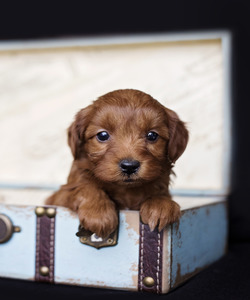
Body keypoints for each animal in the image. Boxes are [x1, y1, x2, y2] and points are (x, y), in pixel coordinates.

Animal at [46, 89, 188, 237]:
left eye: (152, 135)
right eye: (102, 135)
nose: (129, 166)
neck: (126, 191)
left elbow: (160, 194)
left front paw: (160, 205)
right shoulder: (59, 196)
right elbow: (85, 187)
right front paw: (98, 214)